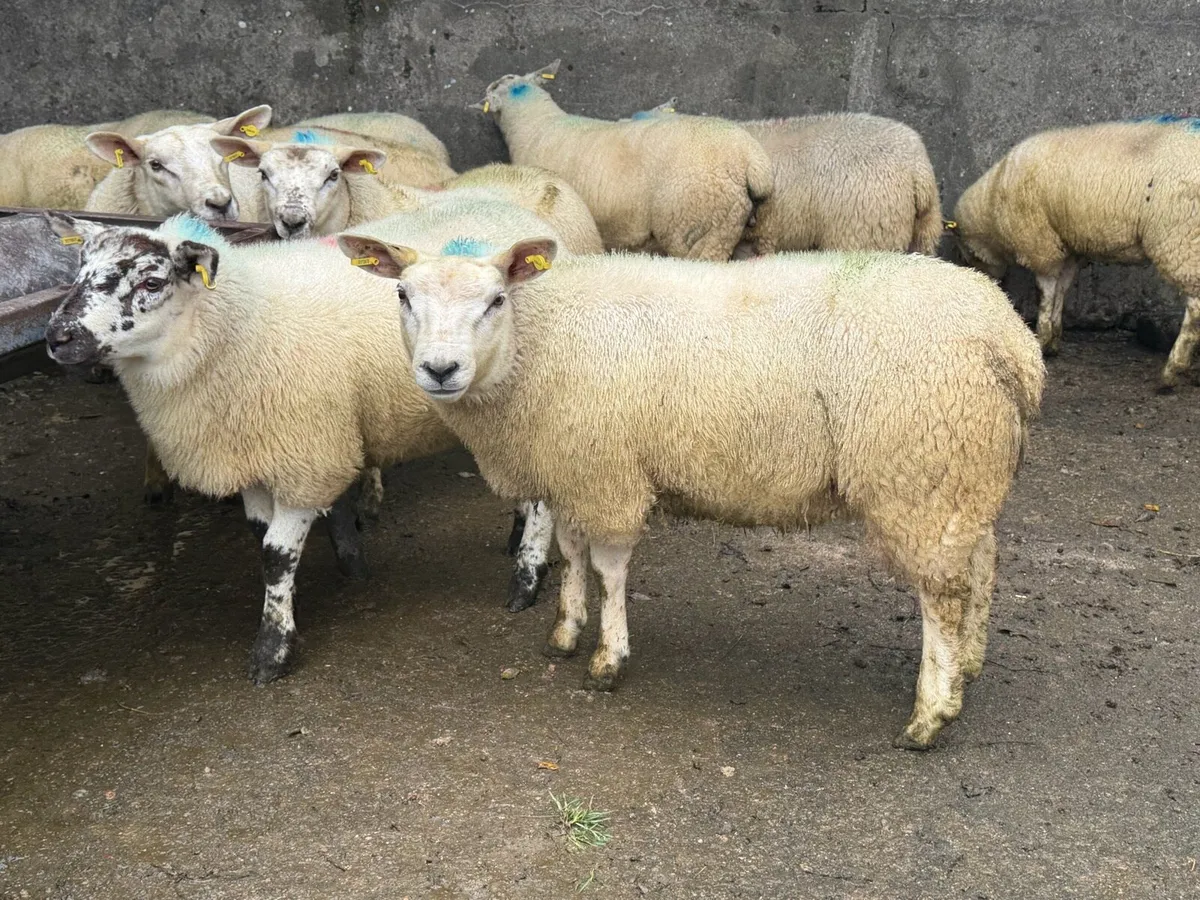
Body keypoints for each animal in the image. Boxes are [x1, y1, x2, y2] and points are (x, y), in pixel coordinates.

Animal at [341, 241, 1045, 749]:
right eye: (402, 295)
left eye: (493, 300)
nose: (440, 370)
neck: (531, 345)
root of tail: (1012, 339)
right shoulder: (572, 469)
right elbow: (571, 553)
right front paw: (566, 630)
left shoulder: (608, 473)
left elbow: (609, 566)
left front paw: (608, 659)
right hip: (963, 475)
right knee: (981, 563)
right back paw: (968, 668)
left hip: (921, 471)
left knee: (941, 596)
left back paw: (931, 714)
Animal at [953, 117, 1200, 389]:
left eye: (965, 253)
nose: (988, 282)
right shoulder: (1067, 248)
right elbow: (1062, 289)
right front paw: (1053, 340)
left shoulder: (1041, 245)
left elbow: (1045, 292)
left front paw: (1042, 338)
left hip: (1180, 237)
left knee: (1195, 309)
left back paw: (1172, 371)